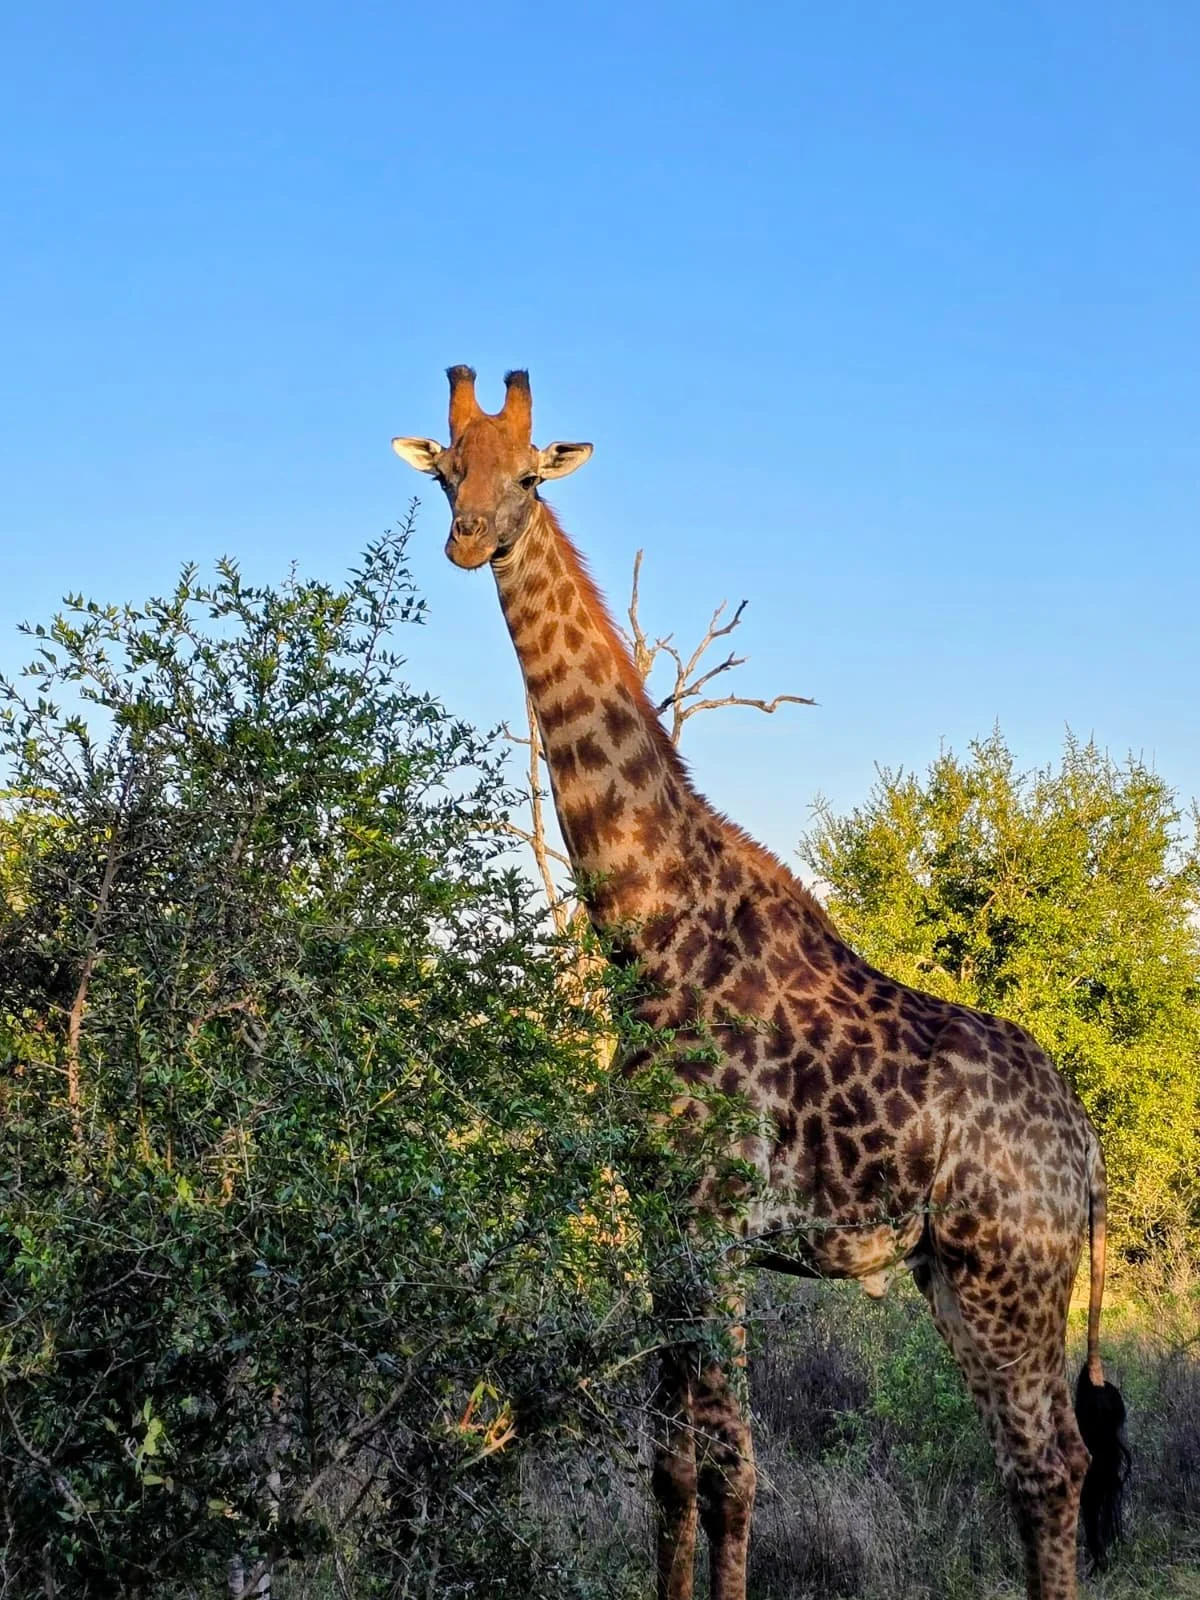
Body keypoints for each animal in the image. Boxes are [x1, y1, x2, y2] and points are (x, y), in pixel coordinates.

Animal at [392, 366, 1130, 1600]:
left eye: (531, 473)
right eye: (447, 471)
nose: (466, 539)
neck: (648, 924)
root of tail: (1084, 1149)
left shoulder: (715, 1221)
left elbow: (736, 1468)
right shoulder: (660, 1224)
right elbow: (671, 1467)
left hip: (1007, 1277)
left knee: (1049, 1464)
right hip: (952, 1275)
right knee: (1043, 1463)